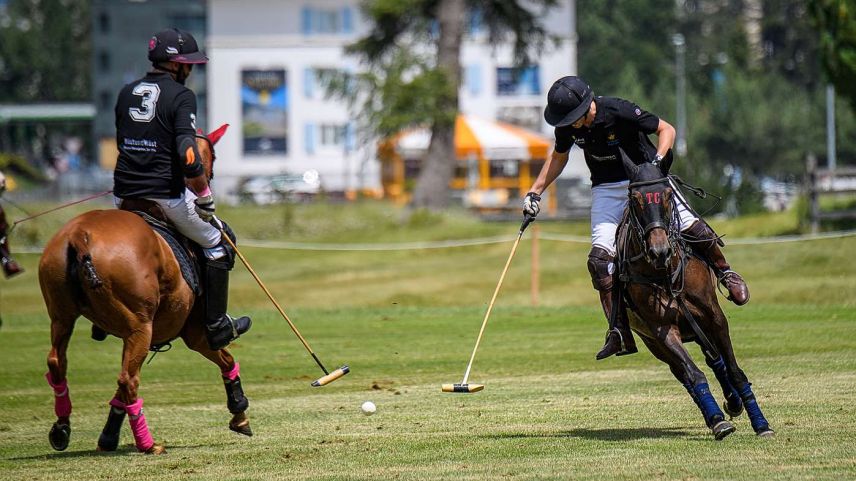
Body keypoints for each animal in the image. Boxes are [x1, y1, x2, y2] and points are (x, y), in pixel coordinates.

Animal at [38, 124, 251, 454]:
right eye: (212, 156)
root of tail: (80, 236)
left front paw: (108, 437)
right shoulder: (194, 331)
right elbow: (225, 357)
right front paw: (239, 413)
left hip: (62, 315)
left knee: (58, 363)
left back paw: (61, 428)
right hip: (140, 325)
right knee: (128, 379)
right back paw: (148, 443)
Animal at [616, 157, 776, 438]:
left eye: (668, 195)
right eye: (635, 199)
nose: (659, 251)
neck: (664, 273)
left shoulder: (714, 317)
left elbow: (734, 370)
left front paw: (761, 424)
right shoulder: (662, 330)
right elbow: (694, 374)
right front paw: (719, 422)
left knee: (715, 359)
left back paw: (734, 402)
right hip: (654, 342)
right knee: (684, 373)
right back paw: (716, 414)